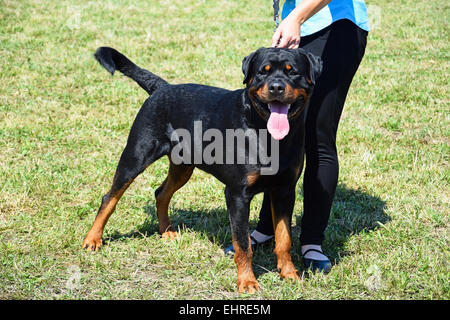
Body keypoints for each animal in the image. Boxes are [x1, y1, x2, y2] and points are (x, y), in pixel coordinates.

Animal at [82, 46, 322, 294]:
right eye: (263, 72)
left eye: (292, 72)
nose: (276, 87)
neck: (264, 132)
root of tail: (162, 87)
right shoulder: (237, 194)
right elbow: (243, 244)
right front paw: (247, 282)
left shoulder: (285, 190)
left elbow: (284, 238)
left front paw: (289, 274)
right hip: (136, 155)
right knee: (110, 197)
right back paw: (93, 239)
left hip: (183, 167)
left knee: (161, 192)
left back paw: (166, 231)